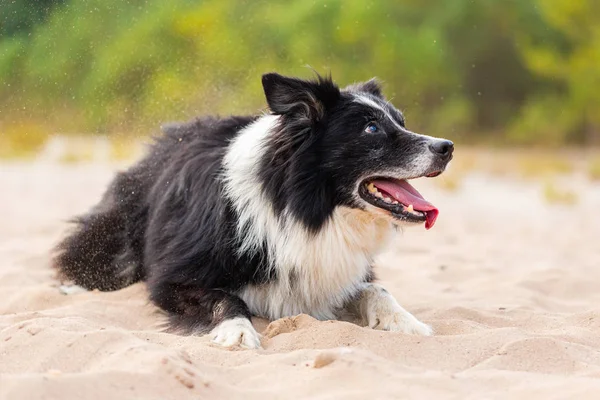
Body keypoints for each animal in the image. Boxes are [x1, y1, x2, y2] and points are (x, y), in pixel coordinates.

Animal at [52, 73, 454, 348]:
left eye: (401, 122)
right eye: (371, 129)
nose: (447, 147)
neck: (305, 209)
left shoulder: (335, 269)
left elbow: (376, 290)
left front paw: (406, 323)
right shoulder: (173, 280)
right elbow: (224, 297)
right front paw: (237, 333)